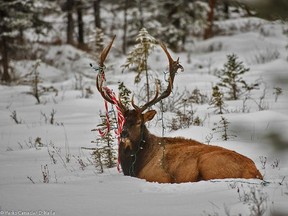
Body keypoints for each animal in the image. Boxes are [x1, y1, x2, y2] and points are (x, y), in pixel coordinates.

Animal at [95, 36, 262, 183]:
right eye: (123, 120)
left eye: (138, 122)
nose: (124, 134)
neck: (134, 165)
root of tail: (256, 172)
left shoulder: (158, 176)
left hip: (209, 165)